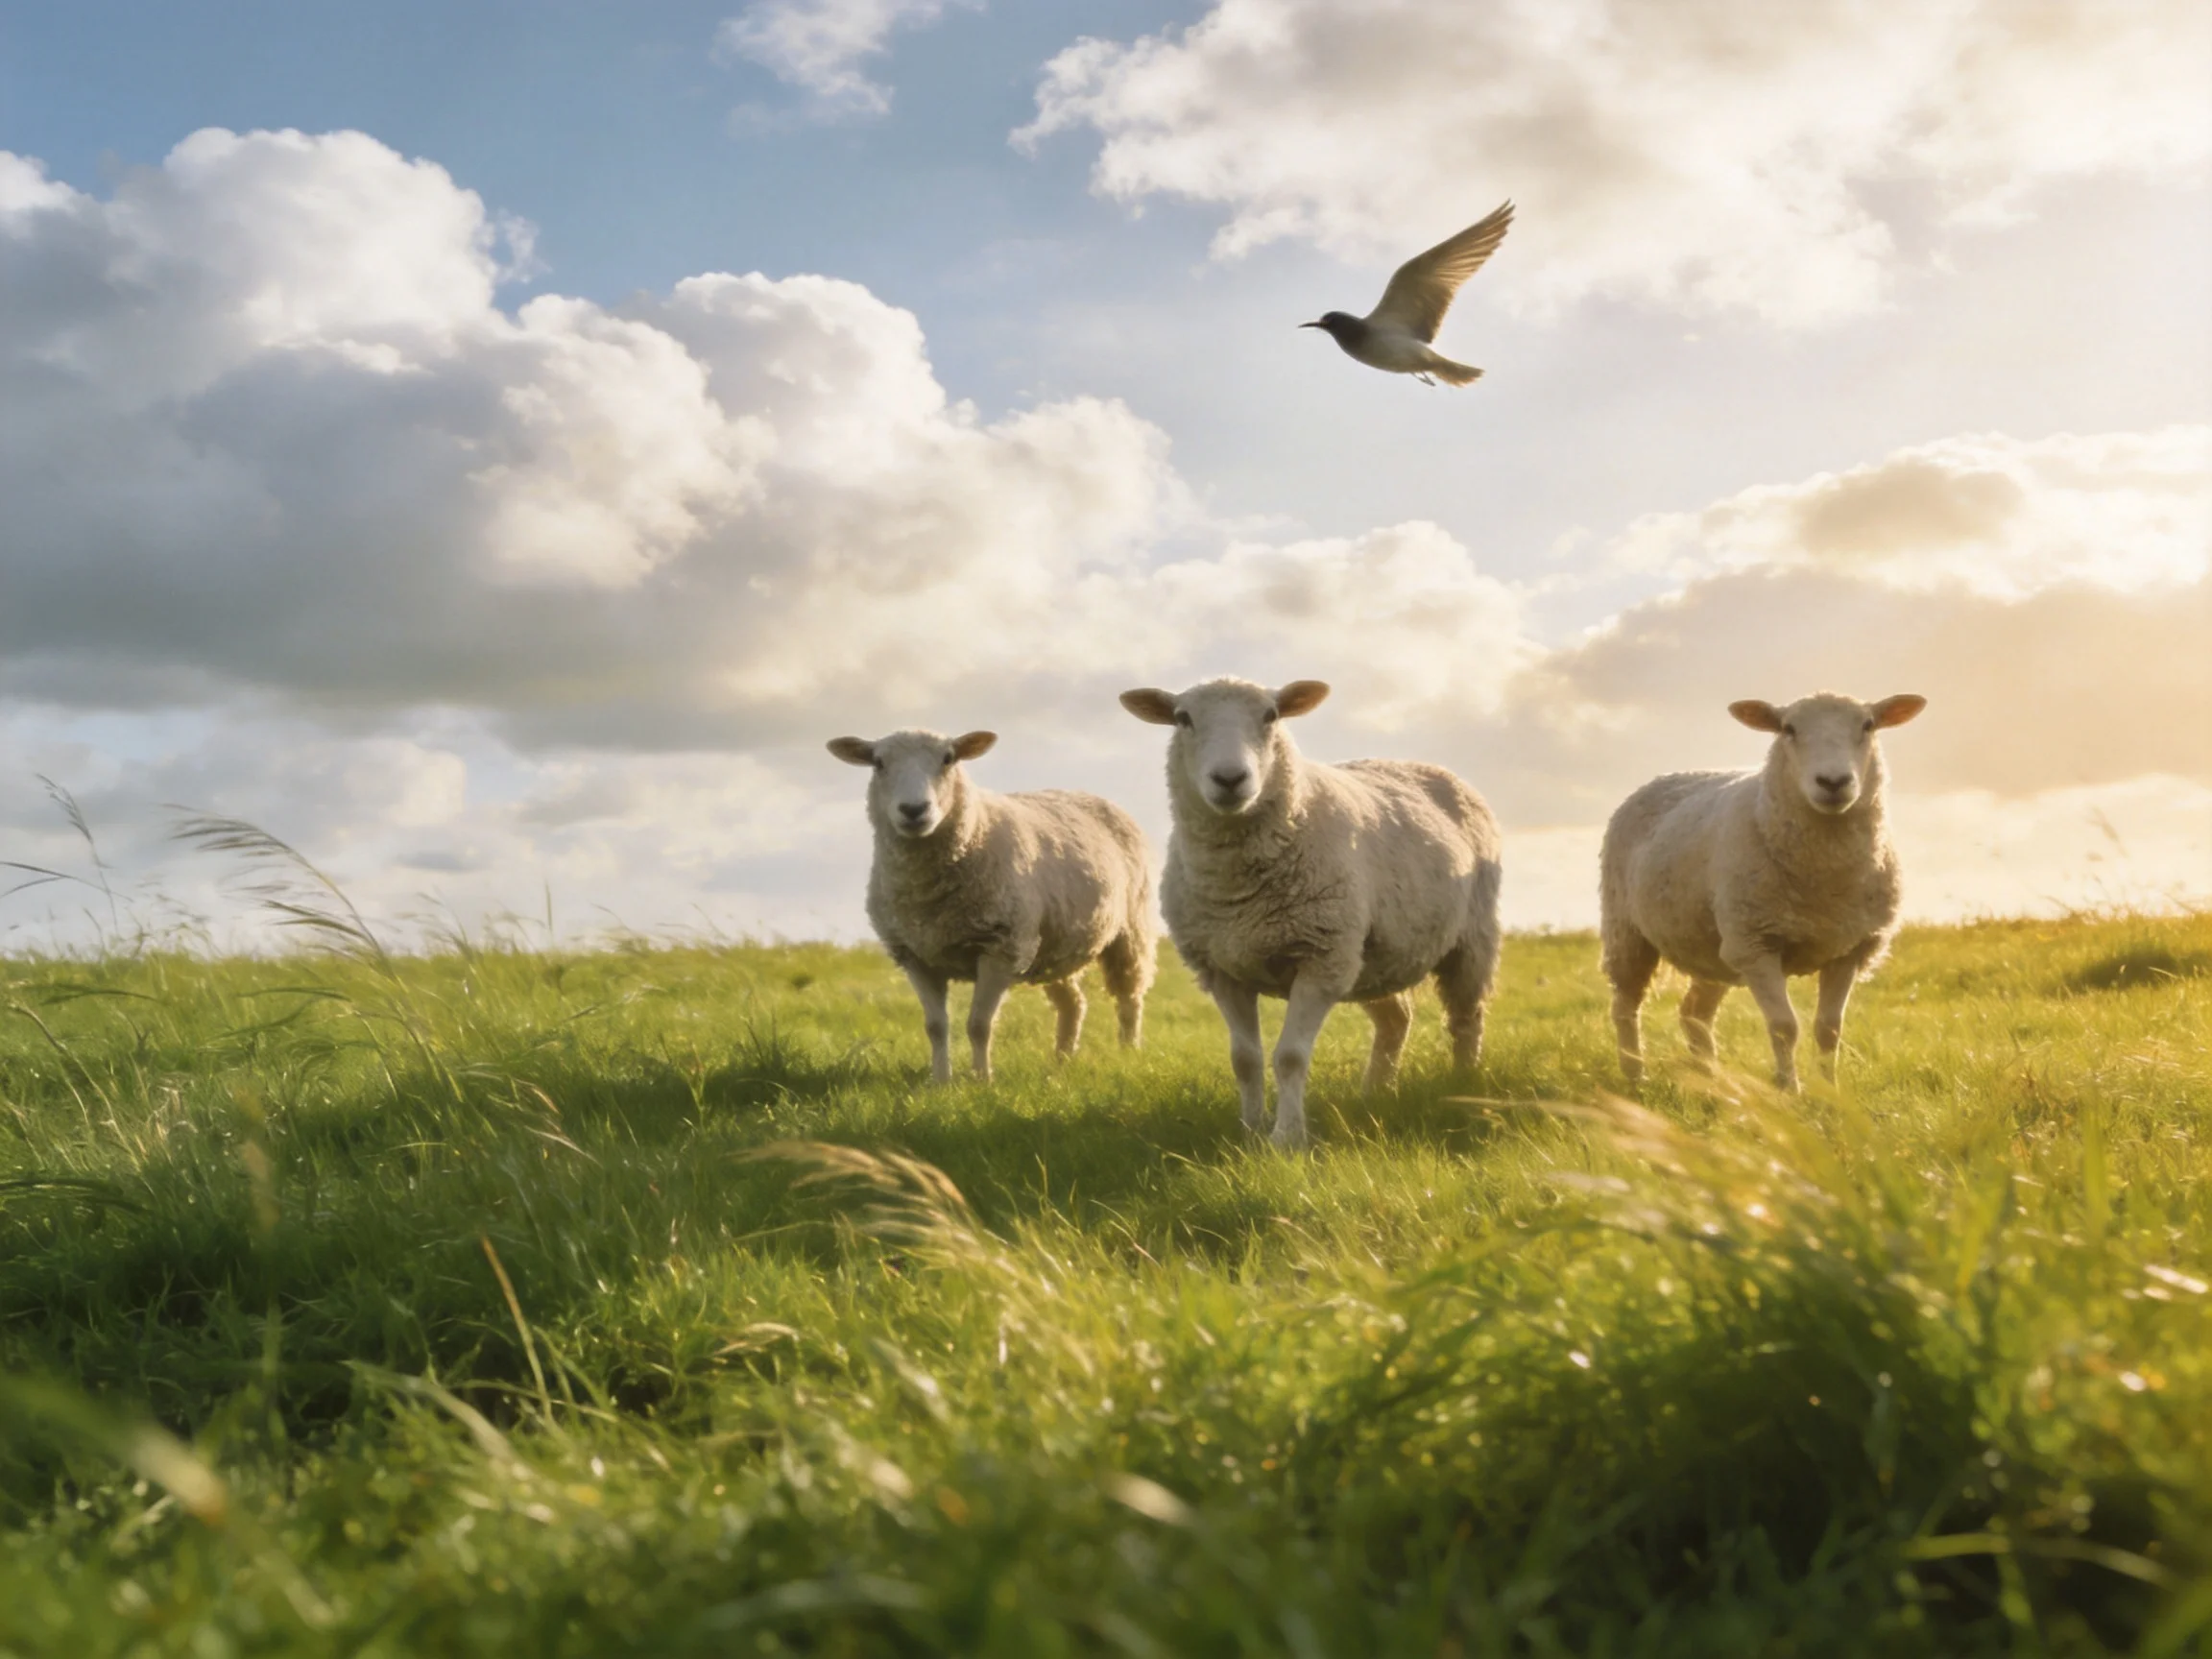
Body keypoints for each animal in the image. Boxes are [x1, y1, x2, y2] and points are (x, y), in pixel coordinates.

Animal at [827, 727, 1156, 1083]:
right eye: (878, 763)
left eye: (948, 759)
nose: (914, 810)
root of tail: (1086, 793)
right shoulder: (915, 956)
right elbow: (935, 1027)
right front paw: (940, 1082)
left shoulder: (1001, 947)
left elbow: (979, 1025)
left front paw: (982, 1080)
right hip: (1052, 947)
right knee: (1073, 1003)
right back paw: (1061, 1061)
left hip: (1131, 930)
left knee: (1129, 997)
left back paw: (1128, 1052)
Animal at [1119, 677, 1502, 1149]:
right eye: (1182, 718)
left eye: (1271, 716)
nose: (1230, 779)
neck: (1239, 892)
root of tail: (1422, 766)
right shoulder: (1222, 969)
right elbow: (1244, 1059)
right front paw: (1250, 1131)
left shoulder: (1319, 958)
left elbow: (1289, 1056)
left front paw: (1287, 1139)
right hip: (1370, 958)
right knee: (1396, 1020)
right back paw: (1375, 1092)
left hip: (1471, 939)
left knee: (1467, 1018)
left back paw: (1463, 1084)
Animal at [1599, 691, 1928, 1092]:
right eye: (1788, 728)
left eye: (1868, 725)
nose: (1833, 781)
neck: (1824, 882)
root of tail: (1669, 775)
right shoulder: (1757, 945)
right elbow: (1785, 1027)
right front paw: (1790, 1091)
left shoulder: (1847, 949)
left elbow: (1829, 1029)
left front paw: (1830, 1093)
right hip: (1628, 930)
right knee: (1626, 1005)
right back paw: (1635, 1076)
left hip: (1714, 947)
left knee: (1694, 1012)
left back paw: (1713, 1081)